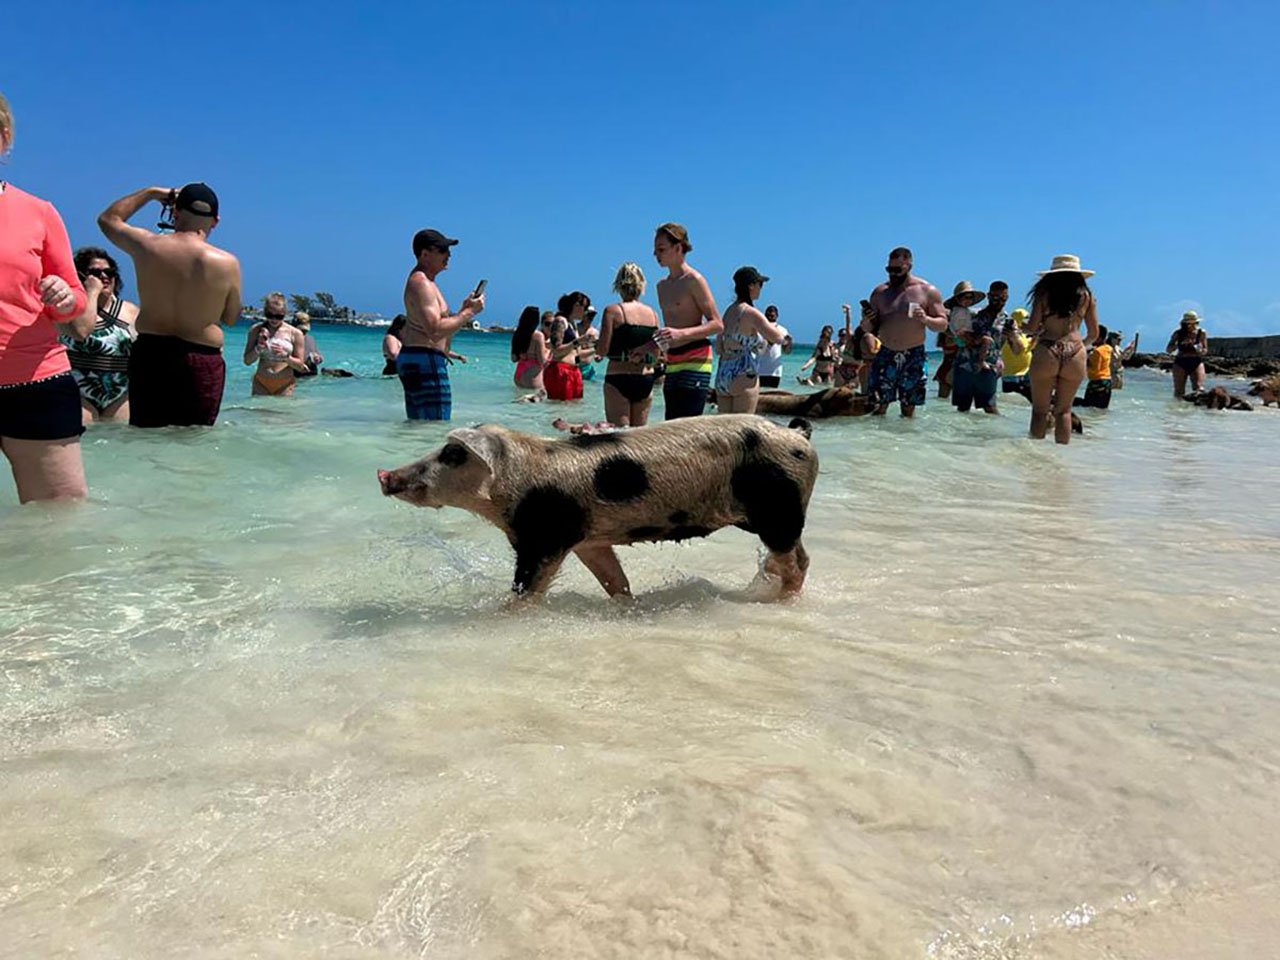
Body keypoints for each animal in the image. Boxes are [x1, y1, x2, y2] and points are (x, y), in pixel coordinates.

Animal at [378, 414, 819, 599]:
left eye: (452, 454)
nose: (383, 475)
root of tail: (798, 433)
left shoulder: (545, 537)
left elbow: (527, 590)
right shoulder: (590, 540)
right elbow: (613, 580)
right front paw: (628, 604)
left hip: (778, 508)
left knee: (797, 560)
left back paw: (782, 599)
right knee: (799, 556)